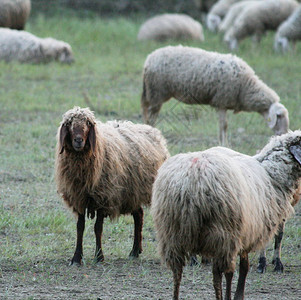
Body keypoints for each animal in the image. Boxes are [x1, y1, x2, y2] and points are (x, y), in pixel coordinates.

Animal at [54, 106, 169, 264]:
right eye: (69, 123)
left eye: (88, 123)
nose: (78, 140)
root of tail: (152, 131)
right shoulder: (79, 197)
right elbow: (80, 227)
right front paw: (77, 257)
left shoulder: (104, 196)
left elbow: (98, 228)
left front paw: (99, 256)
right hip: (131, 192)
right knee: (139, 214)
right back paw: (135, 251)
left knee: (140, 215)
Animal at [141, 44, 288, 146]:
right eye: (279, 116)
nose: (283, 135)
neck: (246, 86)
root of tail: (148, 59)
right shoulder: (221, 101)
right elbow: (224, 125)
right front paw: (224, 145)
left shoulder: (223, 103)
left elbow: (223, 126)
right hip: (156, 92)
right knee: (151, 117)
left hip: (152, 92)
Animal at [151, 131, 300, 300]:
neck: (270, 175)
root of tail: (193, 178)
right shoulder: (244, 233)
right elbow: (240, 270)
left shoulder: (245, 235)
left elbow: (244, 267)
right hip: (223, 233)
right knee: (219, 274)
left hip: (172, 233)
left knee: (177, 271)